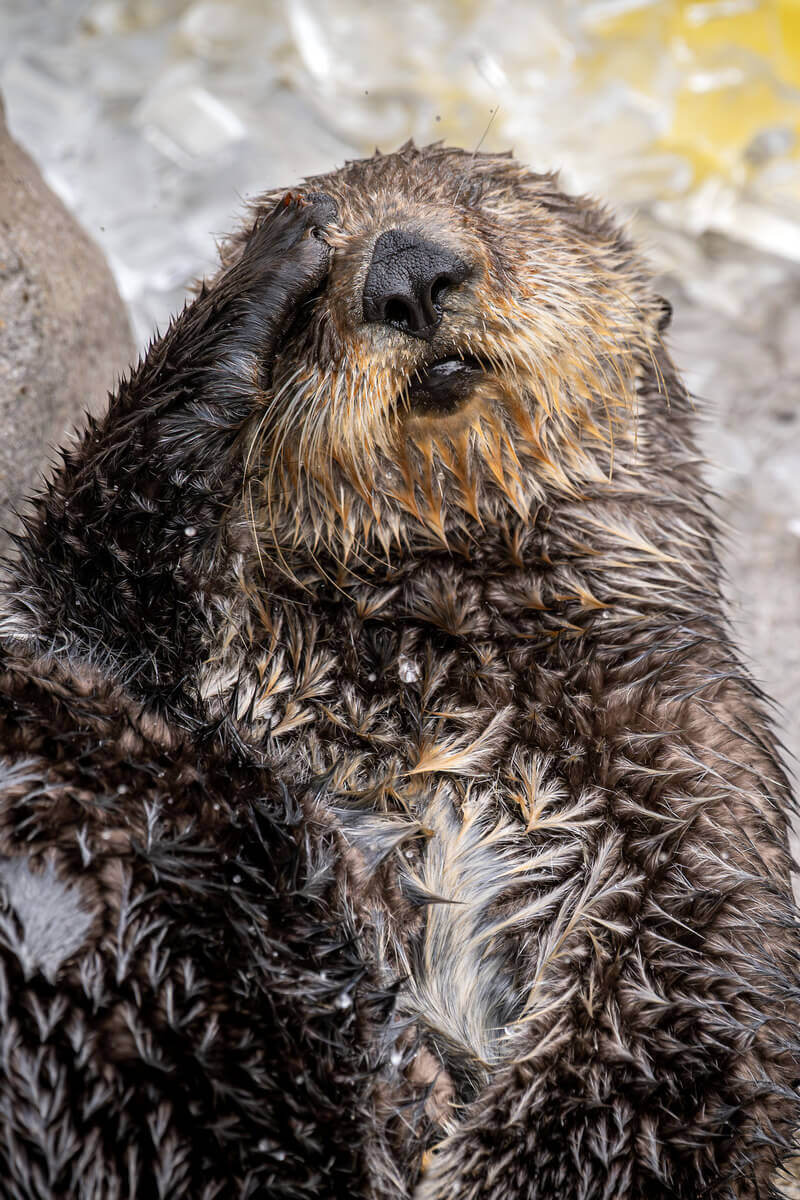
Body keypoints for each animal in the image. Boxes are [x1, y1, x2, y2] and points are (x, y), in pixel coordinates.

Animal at [0, 144, 798, 1199]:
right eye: (329, 274)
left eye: (486, 202)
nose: (408, 272)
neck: (439, 655)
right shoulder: (128, 642)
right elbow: (82, 558)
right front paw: (265, 268)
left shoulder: (698, 770)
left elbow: (685, 1030)